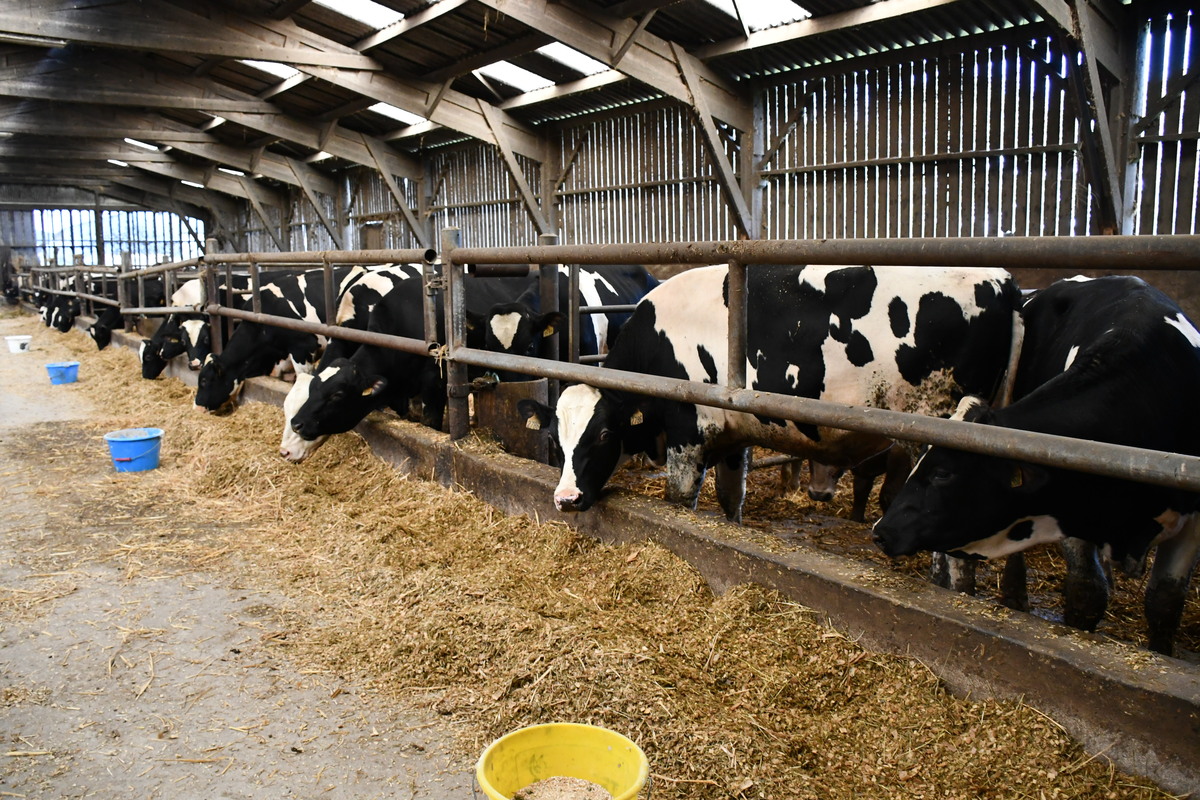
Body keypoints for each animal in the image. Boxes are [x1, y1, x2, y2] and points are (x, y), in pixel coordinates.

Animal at [520, 263, 1017, 525]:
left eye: (604, 435)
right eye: (556, 441)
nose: (566, 499)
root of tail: (998, 278)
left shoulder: (688, 433)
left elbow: (681, 499)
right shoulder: (731, 435)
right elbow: (731, 498)